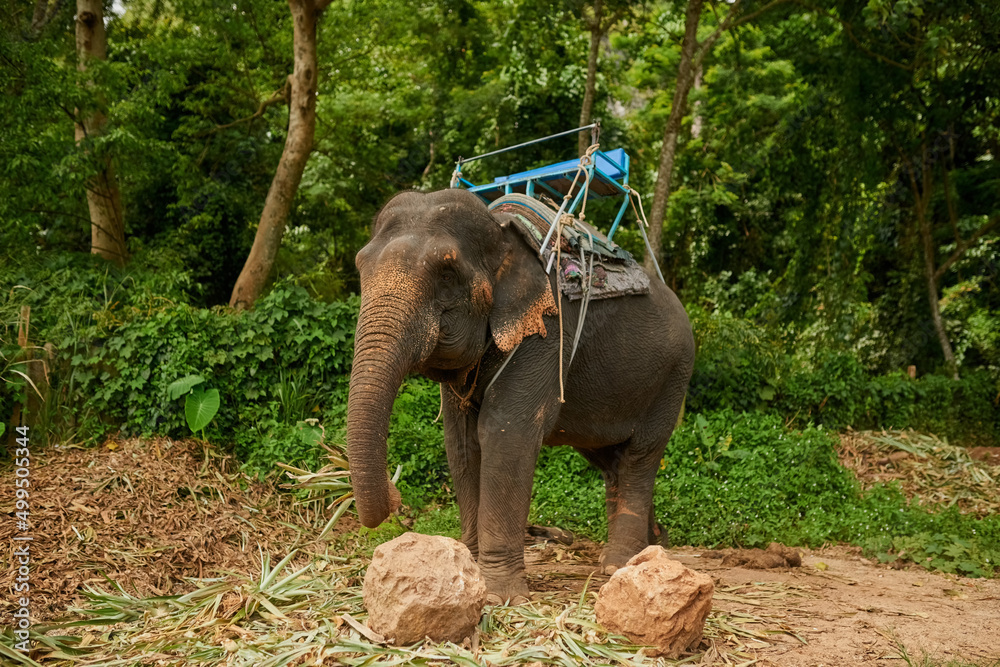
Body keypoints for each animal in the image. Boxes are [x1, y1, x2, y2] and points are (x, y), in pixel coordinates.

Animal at [348, 185, 692, 604]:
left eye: (446, 274)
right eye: (361, 267)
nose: (396, 498)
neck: (501, 232)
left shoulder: (547, 332)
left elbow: (506, 432)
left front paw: (499, 596)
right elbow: (461, 441)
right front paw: (469, 573)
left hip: (671, 378)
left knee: (640, 457)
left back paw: (619, 566)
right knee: (611, 460)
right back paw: (649, 548)